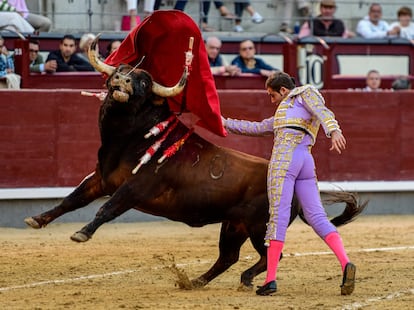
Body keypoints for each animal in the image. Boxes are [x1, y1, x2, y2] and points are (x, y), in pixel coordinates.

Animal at [24, 37, 366, 290]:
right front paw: (38, 219)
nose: (121, 80)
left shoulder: (136, 187)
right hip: (233, 225)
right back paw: (197, 281)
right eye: (119, 70)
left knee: (269, 253)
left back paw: (247, 280)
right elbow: (72, 199)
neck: (127, 140)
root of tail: (294, 187)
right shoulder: (101, 178)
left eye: (144, 83)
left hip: (258, 224)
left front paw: (81, 233)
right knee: (229, 256)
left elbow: (106, 209)